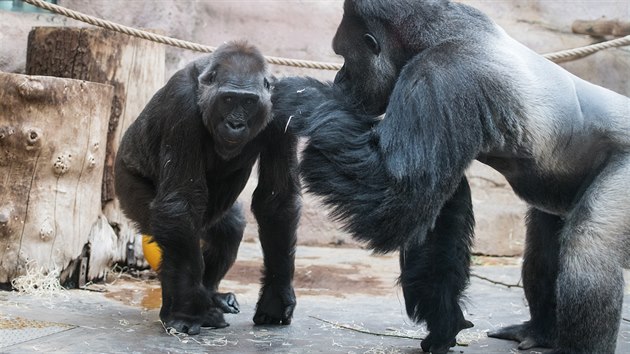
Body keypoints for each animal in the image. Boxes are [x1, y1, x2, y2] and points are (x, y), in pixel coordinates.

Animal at [116, 41, 304, 334]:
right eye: (227, 100)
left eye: (248, 102)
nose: (235, 124)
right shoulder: (181, 104)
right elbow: (180, 204)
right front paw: (188, 312)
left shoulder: (283, 108)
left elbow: (278, 201)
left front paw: (276, 295)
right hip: (126, 183)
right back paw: (182, 307)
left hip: (210, 219)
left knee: (228, 229)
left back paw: (212, 294)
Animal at [274, 0, 630, 354]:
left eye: (344, 57)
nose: (338, 78)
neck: (438, 37)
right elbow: (429, 208)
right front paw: (443, 319)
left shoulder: (439, 74)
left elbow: (397, 195)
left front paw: (304, 98)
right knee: (544, 240)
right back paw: (540, 330)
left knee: (588, 248)